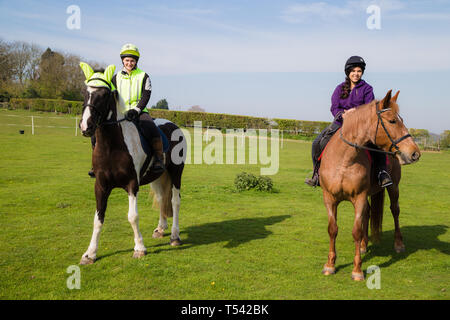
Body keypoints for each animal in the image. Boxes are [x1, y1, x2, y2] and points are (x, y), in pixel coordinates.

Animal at [78, 63, 185, 264]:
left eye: (104, 95)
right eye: (85, 92)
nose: (86, 126)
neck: (112, 147)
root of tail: (173, 125)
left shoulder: (131, 185)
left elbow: (133, 217)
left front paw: (140, 248)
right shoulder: (101, 185)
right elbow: (98, 218)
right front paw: (90, 253)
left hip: (176, 173)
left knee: (175, 201)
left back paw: (175, 236)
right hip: (157, 177)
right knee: (162, 199)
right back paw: (161, 229)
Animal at [318, 90, 420, 280]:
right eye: (392, 121)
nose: (415, 153)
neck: (344, 160)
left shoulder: (359, 198)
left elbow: (356, 231)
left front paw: (357, 270)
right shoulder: (329, 198)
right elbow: (332, 229)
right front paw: (330, 265)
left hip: (393, 188)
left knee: (395, 211)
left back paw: (398, 244)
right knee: (368, 213)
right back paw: (364, 245)